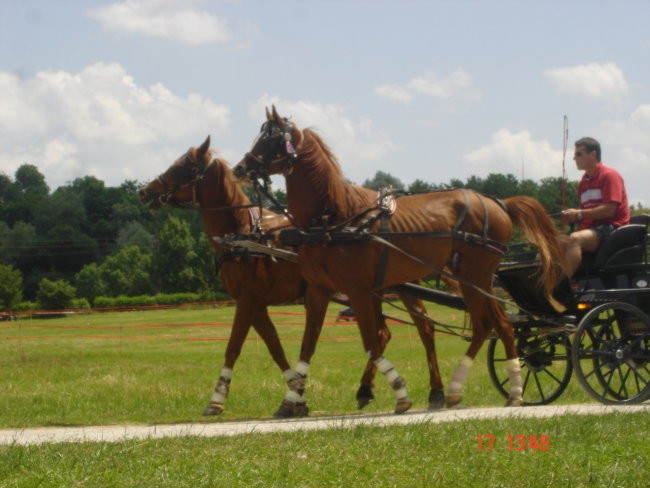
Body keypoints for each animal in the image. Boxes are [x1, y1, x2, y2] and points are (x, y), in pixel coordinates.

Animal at [139, 135, 438, 418]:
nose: (145, 191)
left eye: (184, 167)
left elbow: (233, 347)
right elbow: (275, 348)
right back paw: (365, 390)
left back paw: (434, 391)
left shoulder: (247, 300)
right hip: (370, 290)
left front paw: (217, 399)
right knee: (383, 333)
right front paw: (297, 395)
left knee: (423, 327)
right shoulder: (256, 304)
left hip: (400, 286)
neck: (244, 233)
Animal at [232, 107, 560, 416]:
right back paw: (497, 389)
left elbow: (372, 342)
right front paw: (292, 399)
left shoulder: (358, 291)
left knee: (487, 324)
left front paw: (399, 393)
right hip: (476, 281)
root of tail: (498, 203)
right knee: (499, 324)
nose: (240, 168)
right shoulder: (318, 291)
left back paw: (483, 389)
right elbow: (308, 345)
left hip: (474, 277)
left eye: (272, 139)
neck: (333, 218)